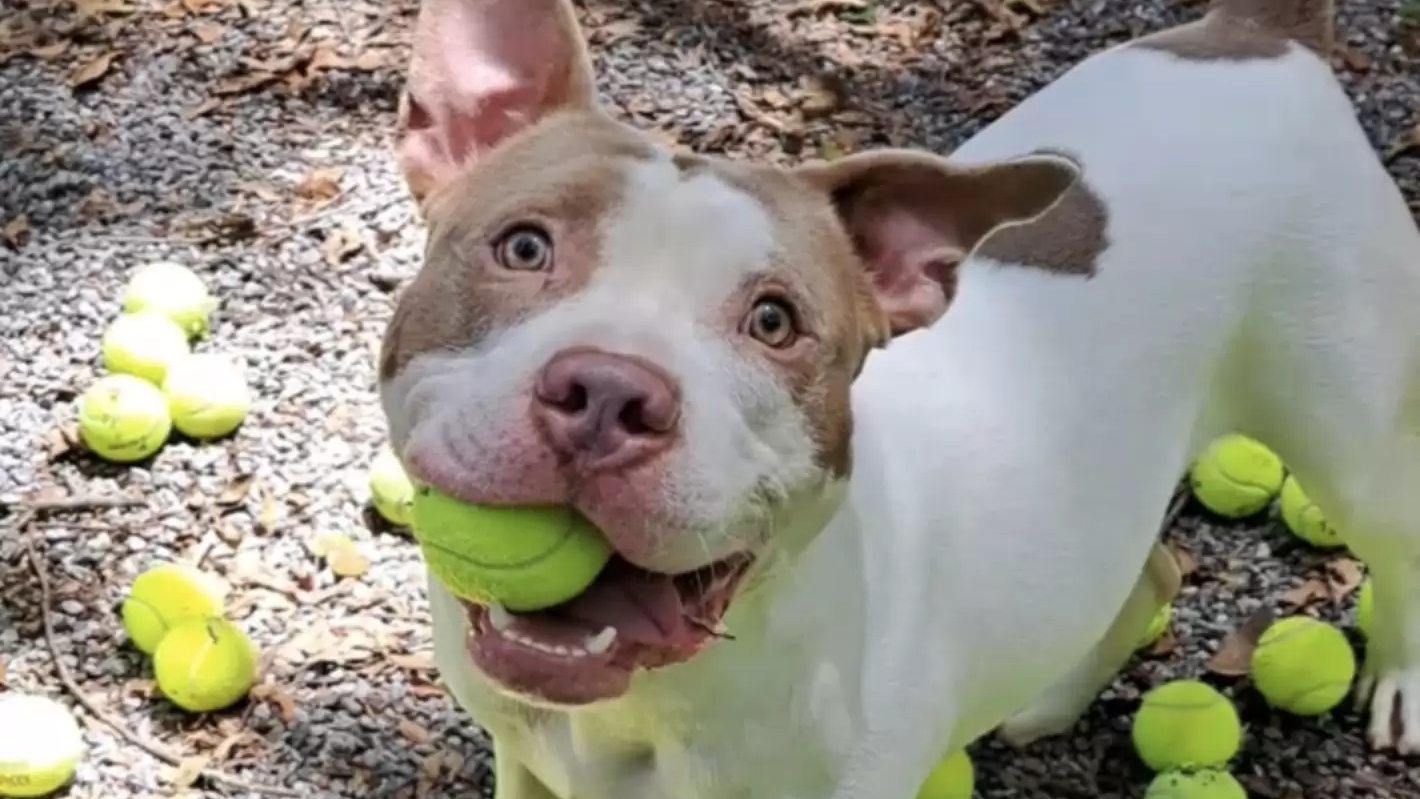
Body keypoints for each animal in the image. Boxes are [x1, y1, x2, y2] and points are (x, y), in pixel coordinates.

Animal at [378, 0, 1420, 796]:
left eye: (774, 321)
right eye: (523, 246)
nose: (606, 392)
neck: (648, 704)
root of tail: (1260, 36)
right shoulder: (527, 760)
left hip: (1349, 425)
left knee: (1396, 537)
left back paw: (1401, 681)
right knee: (1151, 568)